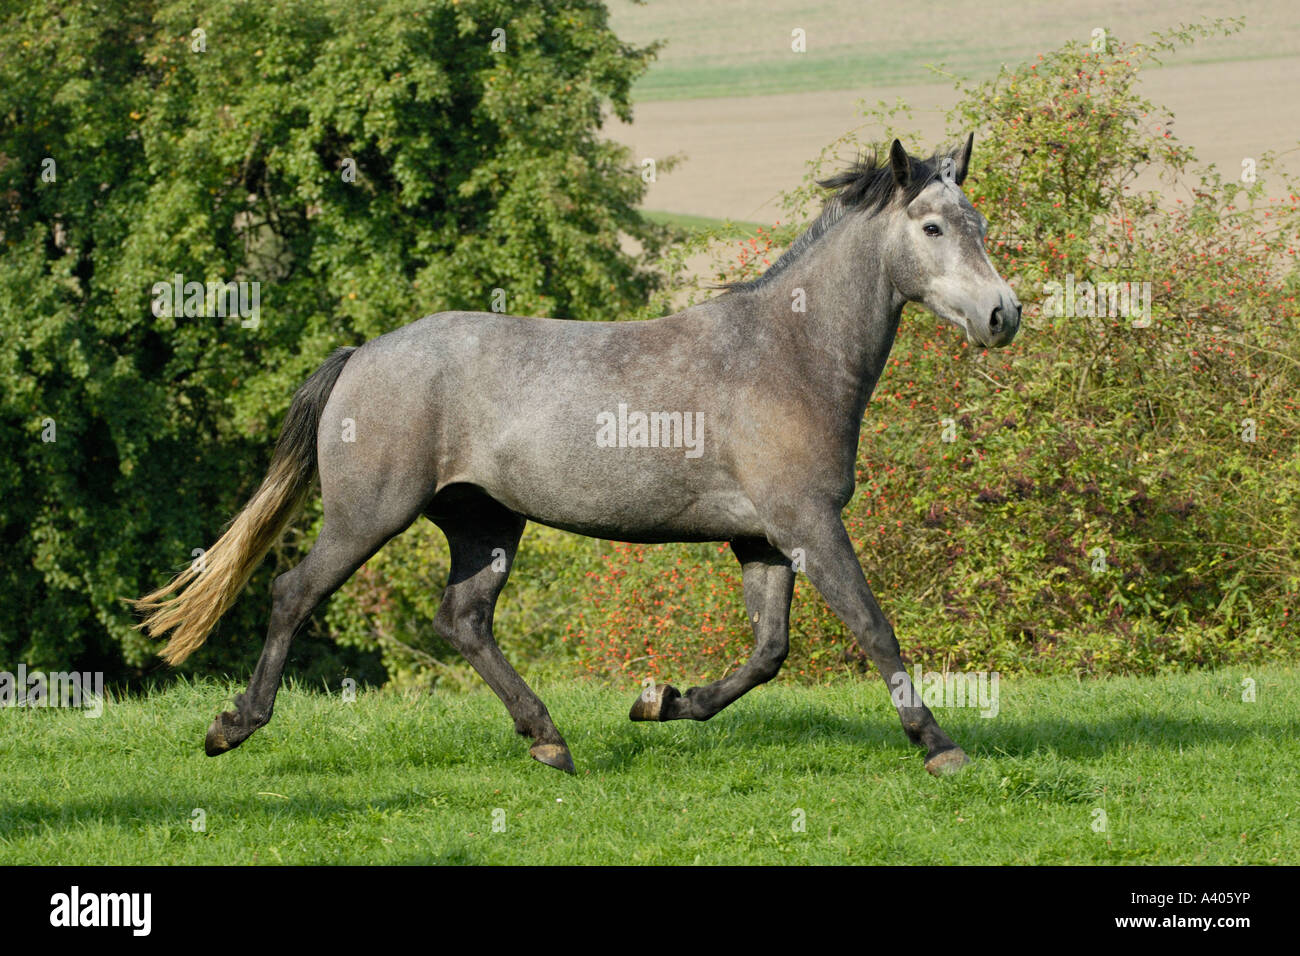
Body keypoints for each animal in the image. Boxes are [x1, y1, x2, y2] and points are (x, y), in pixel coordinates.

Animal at [134, 134, 1024, 780]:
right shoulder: (808, 524)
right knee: (293, 592)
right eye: (933, 227)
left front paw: (662, 701)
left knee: (463, 621)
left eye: (979, 224)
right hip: (367, 516)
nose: (1002, 314)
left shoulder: (763, 537)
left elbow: (768, 654)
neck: (786, 353)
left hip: (484, 523)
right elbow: (875, 629)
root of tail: (362, 355)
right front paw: (941, 747)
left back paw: (548, 740)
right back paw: (232, 727)